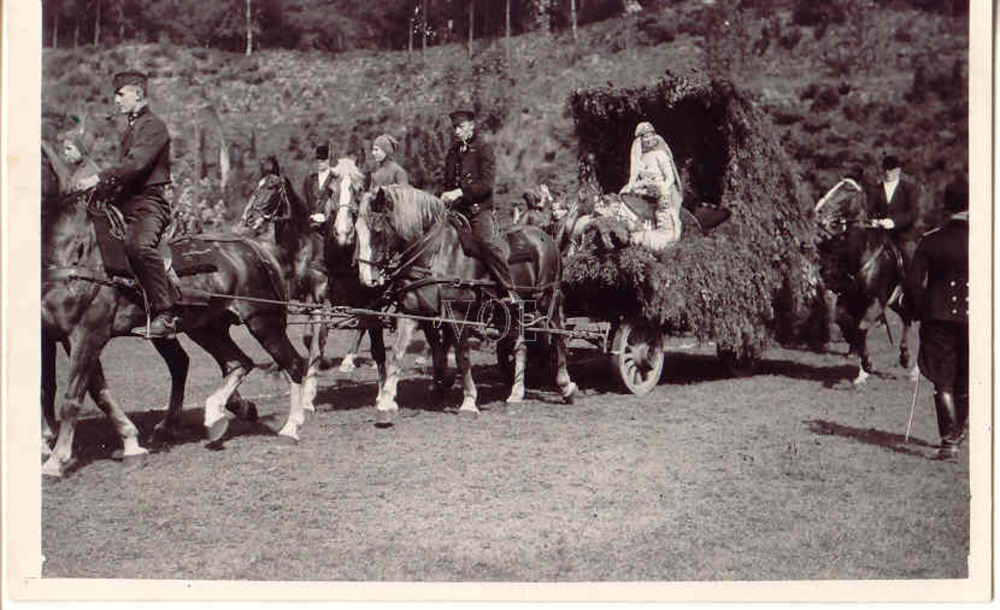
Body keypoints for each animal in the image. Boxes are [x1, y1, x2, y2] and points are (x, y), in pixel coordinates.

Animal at [41, 184, 307, 477]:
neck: (74, 254)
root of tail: (251, 247)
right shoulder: (61, 338)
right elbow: (92, 391)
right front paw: (130, 443)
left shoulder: (88, 335)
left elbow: (72, 398)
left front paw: (55, 460)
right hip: (206, 329)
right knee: (236, 363)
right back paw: (213, 416)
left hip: (263, 321)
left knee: (292, 364)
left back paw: (290, 428)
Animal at [242, 157, 386, 408]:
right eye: (256, 186)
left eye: (271, 186)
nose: (249, 217)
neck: (302, 248)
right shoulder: (302, 299)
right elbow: (309, 338)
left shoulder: (325, 299)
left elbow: (318, 340)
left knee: (367, 328)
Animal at [355, 185, 578, 426]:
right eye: (356, 230)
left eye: (378, 229)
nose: (366, 279)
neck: (435, 255)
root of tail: (546, 237)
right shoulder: (412, 313)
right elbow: (398, 353)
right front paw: (386, 403)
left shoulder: (458, 314)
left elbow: (462, 355)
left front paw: (469, 401)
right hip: (513, 311)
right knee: (521, 346)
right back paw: (517, 392)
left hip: (547, 301)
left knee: (558, 337)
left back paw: (566, 387)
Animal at [814, 177, 916, 385]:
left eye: (847, 190)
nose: (818, 210)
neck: (863, 251)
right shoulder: (851, 301)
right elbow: (847, 324)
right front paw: (862, 369)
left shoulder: (876, 301)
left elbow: (861, 327)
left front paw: (868, 364)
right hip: (895, 301)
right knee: (906, 317)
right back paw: (905, 357)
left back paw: (913, 369)